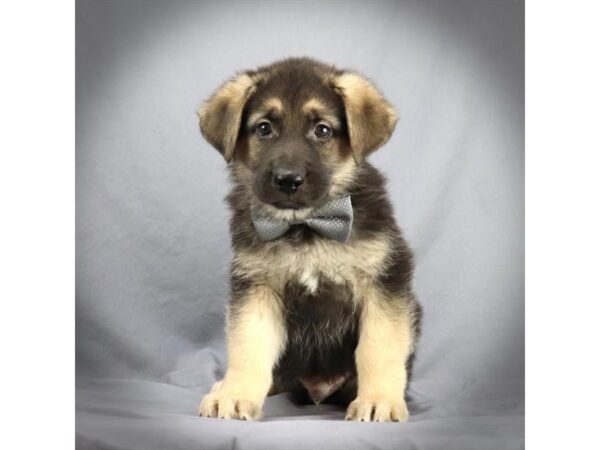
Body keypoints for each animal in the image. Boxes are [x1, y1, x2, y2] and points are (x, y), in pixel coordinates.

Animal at [197, 57, 422, 422]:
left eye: (323, 130)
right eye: (264, 128)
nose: (288, 181)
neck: (306, 227)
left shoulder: (383, 282)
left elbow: (379, 348)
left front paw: (379, 400)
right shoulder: (256, 287)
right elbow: (248, 347)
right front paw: (235, 394)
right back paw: (222, 386)